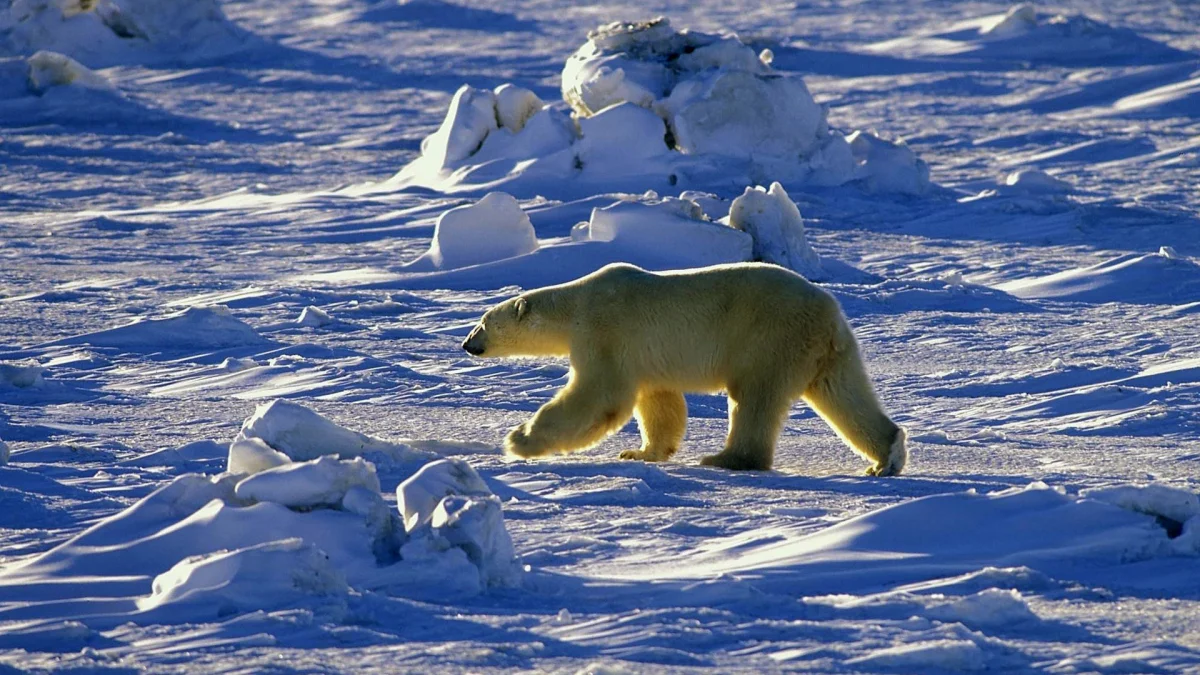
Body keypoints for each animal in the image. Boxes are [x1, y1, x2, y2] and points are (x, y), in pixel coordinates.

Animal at [461, 262, 907, 475]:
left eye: (483, 322)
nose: (467, 344)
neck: (577, 304)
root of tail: (829, 313)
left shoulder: (605, 331)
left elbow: (600, 396)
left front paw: (519, 439)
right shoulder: (644, 356)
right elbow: (659, 402)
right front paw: (640, 452)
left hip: (769, 337)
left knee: (755, 398)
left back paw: (726, 458)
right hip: (828, 352)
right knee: (845, 394)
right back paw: (885, 457)